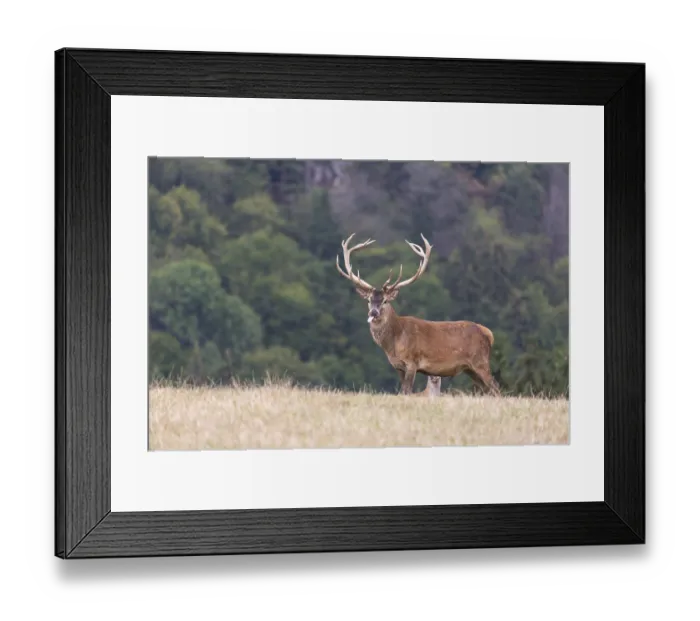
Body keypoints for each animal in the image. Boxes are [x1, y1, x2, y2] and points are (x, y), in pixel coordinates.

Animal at [335, 233, 501, 397]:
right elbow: (402, 391)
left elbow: (407, 391)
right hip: (470, 369)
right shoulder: (398, 366)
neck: (394, 342)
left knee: (496, 387)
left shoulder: (412, 361)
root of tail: (488, 333)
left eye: (385, 301)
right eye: (369, 300)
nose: (373, 313)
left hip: (480, 361)